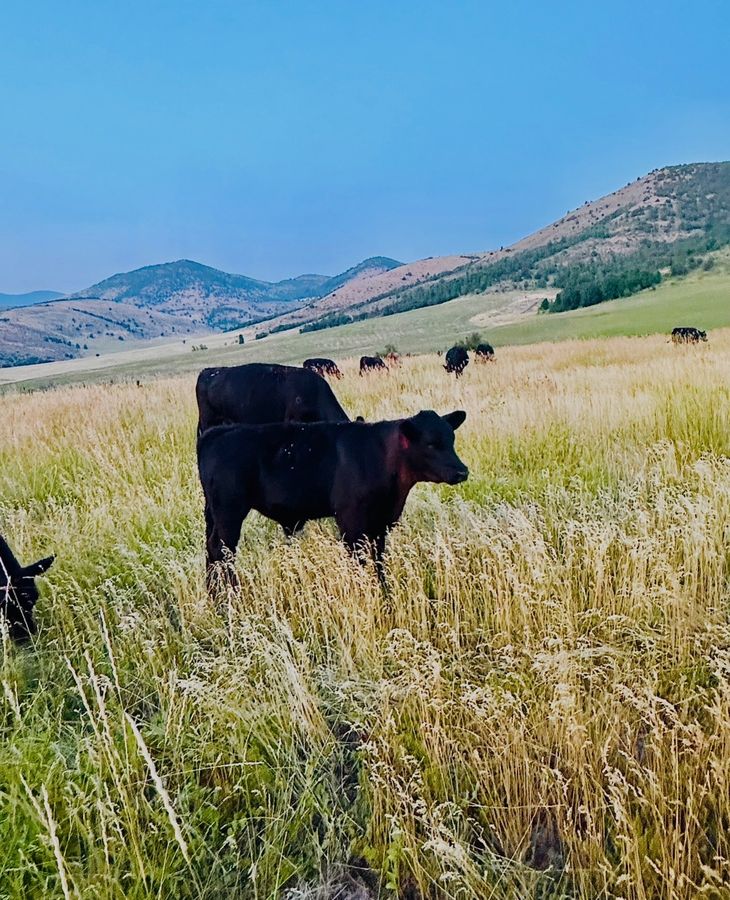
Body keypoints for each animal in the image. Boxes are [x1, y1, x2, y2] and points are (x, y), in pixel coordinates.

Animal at [198, 410, 468, 588]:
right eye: (431, 444)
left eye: (452, 439)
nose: (462, 471)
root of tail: (216, 433)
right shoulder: (351, 522)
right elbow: (358, 562)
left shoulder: (380, 524)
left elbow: (379, 561)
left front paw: (385, 592)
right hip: (229, 512)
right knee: (222, 551)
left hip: (215, 514)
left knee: (211, 550)